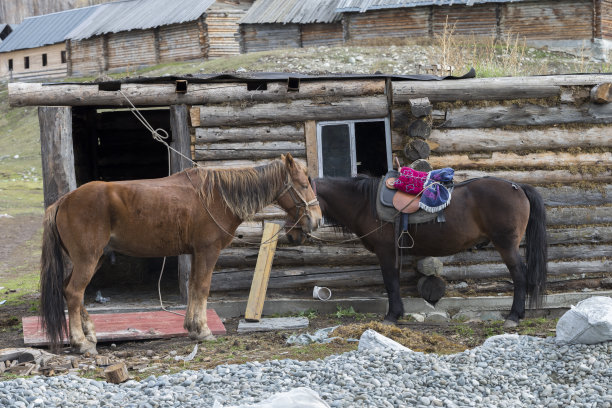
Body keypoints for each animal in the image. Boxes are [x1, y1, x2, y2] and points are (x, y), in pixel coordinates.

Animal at [40, 155, 322, 352]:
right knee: (74, 293)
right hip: (87, 260)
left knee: (71, 291)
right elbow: (203, 288)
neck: (216, 196)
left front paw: (192, 328)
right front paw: (204, 330)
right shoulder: (208, 251)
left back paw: (89, 334)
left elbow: (194, 286)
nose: (317, 219)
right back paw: (80, 342)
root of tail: (63, 201)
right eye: (303, 184)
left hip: (94, 260)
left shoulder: (196, 253)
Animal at [284, 176, 548, 328]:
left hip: (507, 245)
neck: (365, 203)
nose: (290, 235)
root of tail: (517, 187)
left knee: (519, 275)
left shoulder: (386, 252)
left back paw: (514, 316)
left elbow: (391, 283)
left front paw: (392, 316)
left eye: (294, 203)